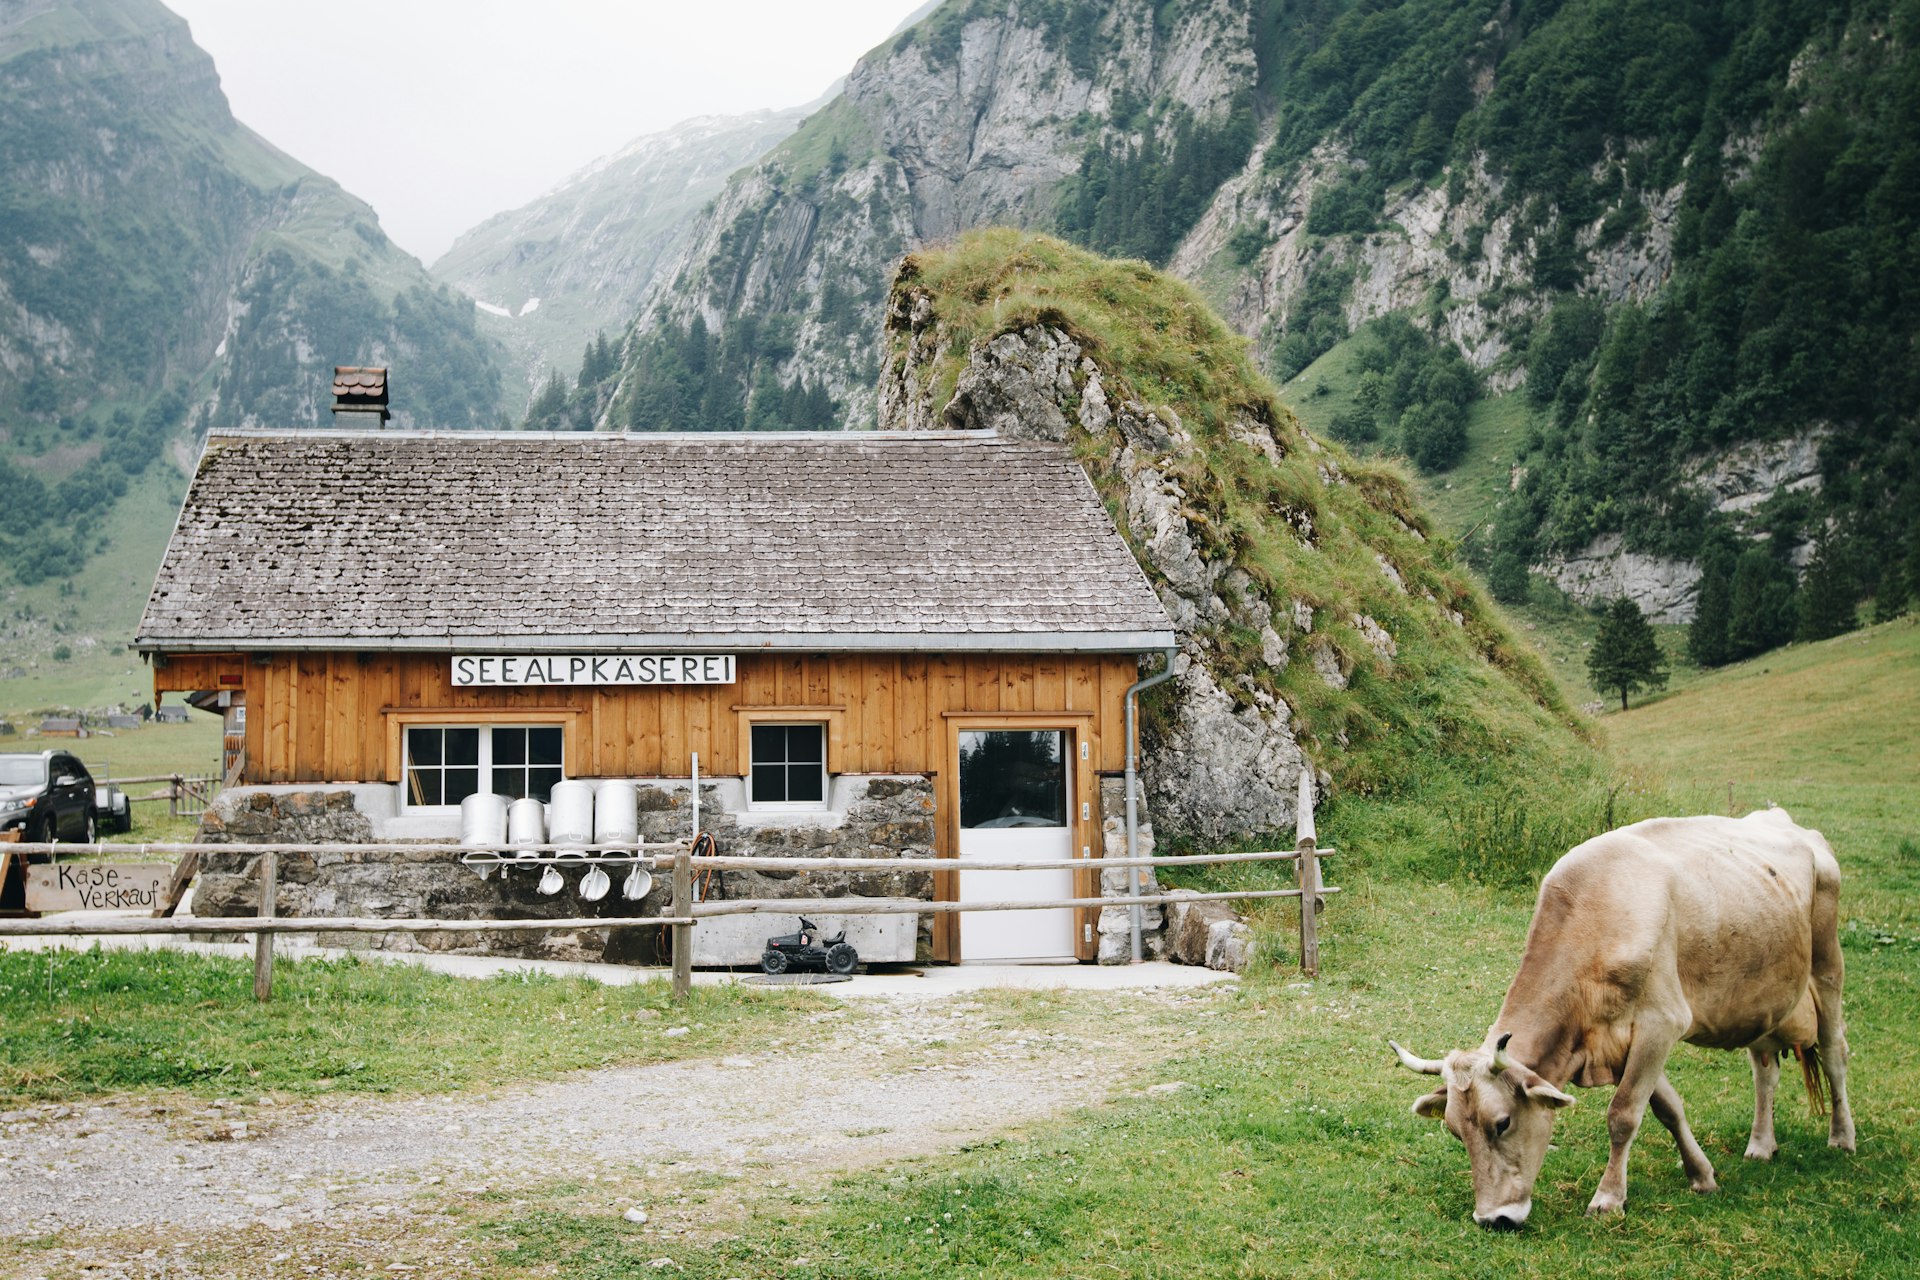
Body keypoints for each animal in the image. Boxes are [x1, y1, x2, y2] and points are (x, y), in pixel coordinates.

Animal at [1390, 809, 1850, 1228]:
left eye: (1502, 1124)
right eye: (1455, 1130)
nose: (1492, 1219)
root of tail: (1785, 820)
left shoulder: (1661, 1023)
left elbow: (1624, 1114)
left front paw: (1608, 1198)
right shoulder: (1620, 1041)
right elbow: (1668, 1108)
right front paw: (1701, 1174)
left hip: (1827, 968)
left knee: (1834, 1055)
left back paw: (1842, 1138)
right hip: (1763, 998)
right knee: (1764, 1071)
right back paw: (1761, 1145)